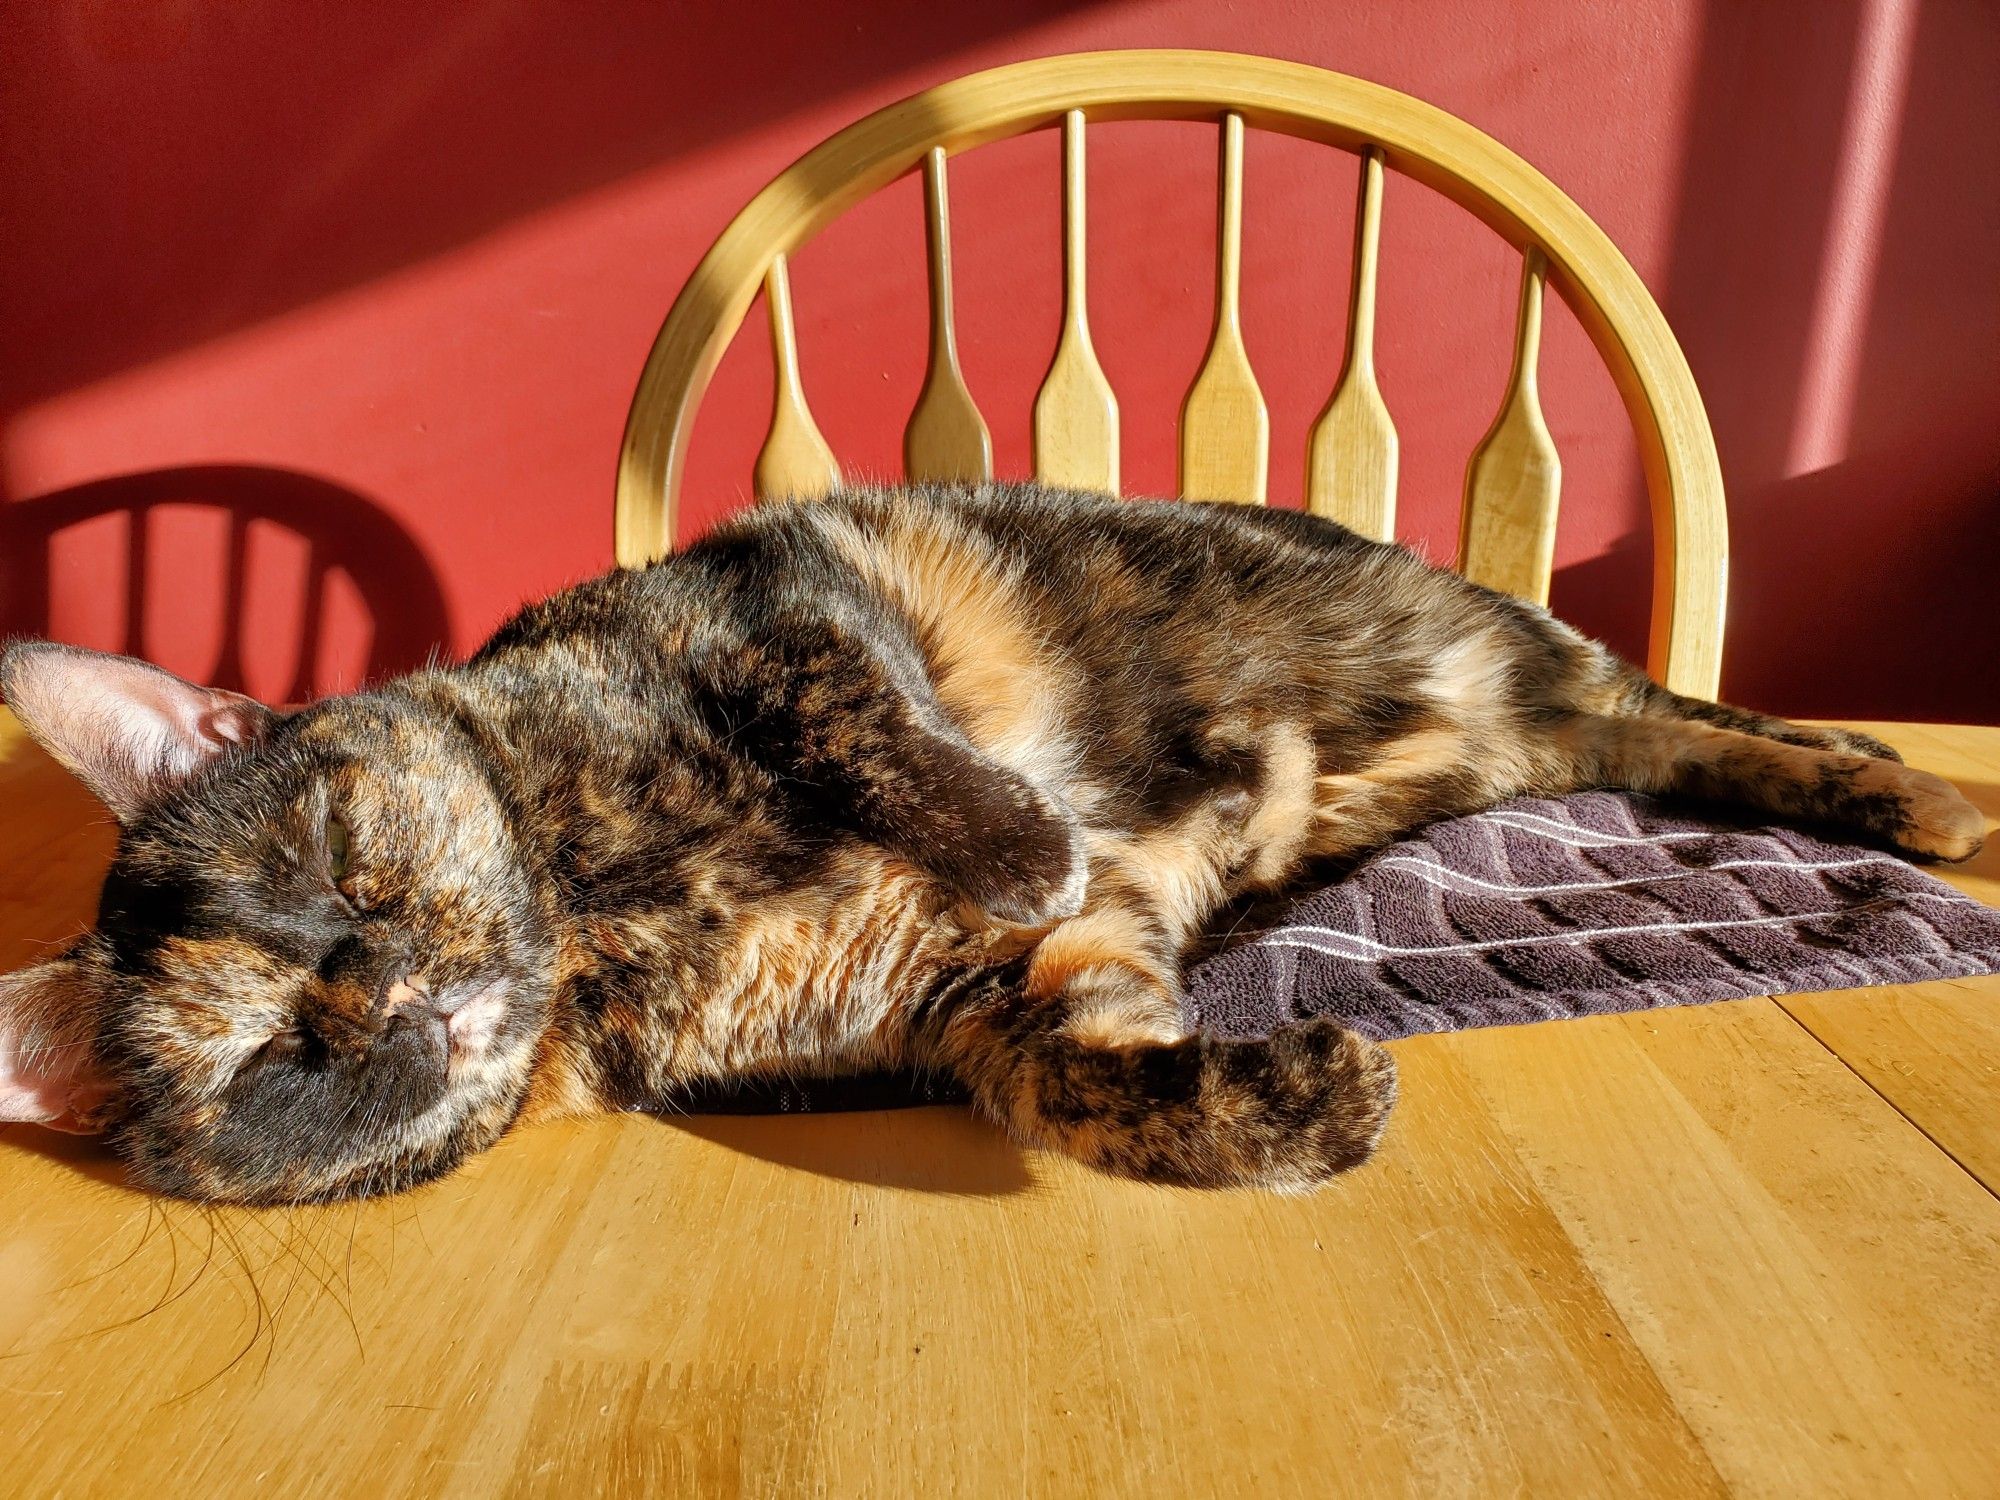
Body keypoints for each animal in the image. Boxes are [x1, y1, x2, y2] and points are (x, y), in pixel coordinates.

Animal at [0, 488, 1976, 1208]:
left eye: (339, 860)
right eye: (275, 1061)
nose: (395, 990)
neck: (615, 911)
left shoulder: (748, 606)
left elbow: (857, 716)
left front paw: (1016, 826)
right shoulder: (1001, 995)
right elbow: (1086, 1082)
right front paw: (1295, 1106)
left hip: (1497, 653)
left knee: (1684, 710)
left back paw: (1919, 791)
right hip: (1501, 723)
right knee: (1648, 734)